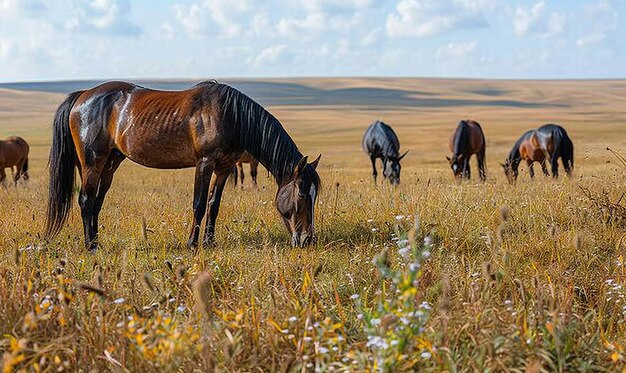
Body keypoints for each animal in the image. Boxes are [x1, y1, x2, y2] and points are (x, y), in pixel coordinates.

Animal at [45, 81, 322, 250]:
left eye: (315, 195)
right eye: (301, 193)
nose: (307, 239)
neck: (230, 115)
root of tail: (82, 96)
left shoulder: (224, 168)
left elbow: (213, 205)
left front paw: (209, 242)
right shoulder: (204, 164)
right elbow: (198, 205)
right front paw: (192, 244)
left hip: (110, 163)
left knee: (96, 203)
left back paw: (96, 241)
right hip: (92, 162)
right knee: (85, 201)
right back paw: (91, 246)